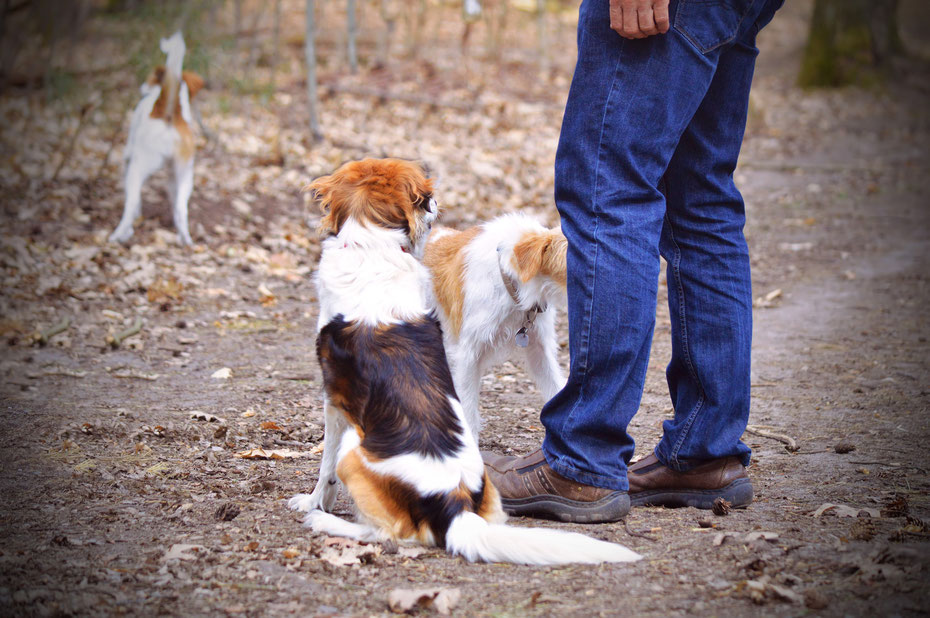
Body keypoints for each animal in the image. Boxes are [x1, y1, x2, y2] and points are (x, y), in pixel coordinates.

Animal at [109, 30, 202, 243]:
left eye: (149, 77)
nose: (143, 87)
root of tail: (170, 115)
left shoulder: (128, 155)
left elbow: (134, 202)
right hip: (184, 174)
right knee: (181, 209)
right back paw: (185, 240)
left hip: (139, 166)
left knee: (130, 205)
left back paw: (119, 234)